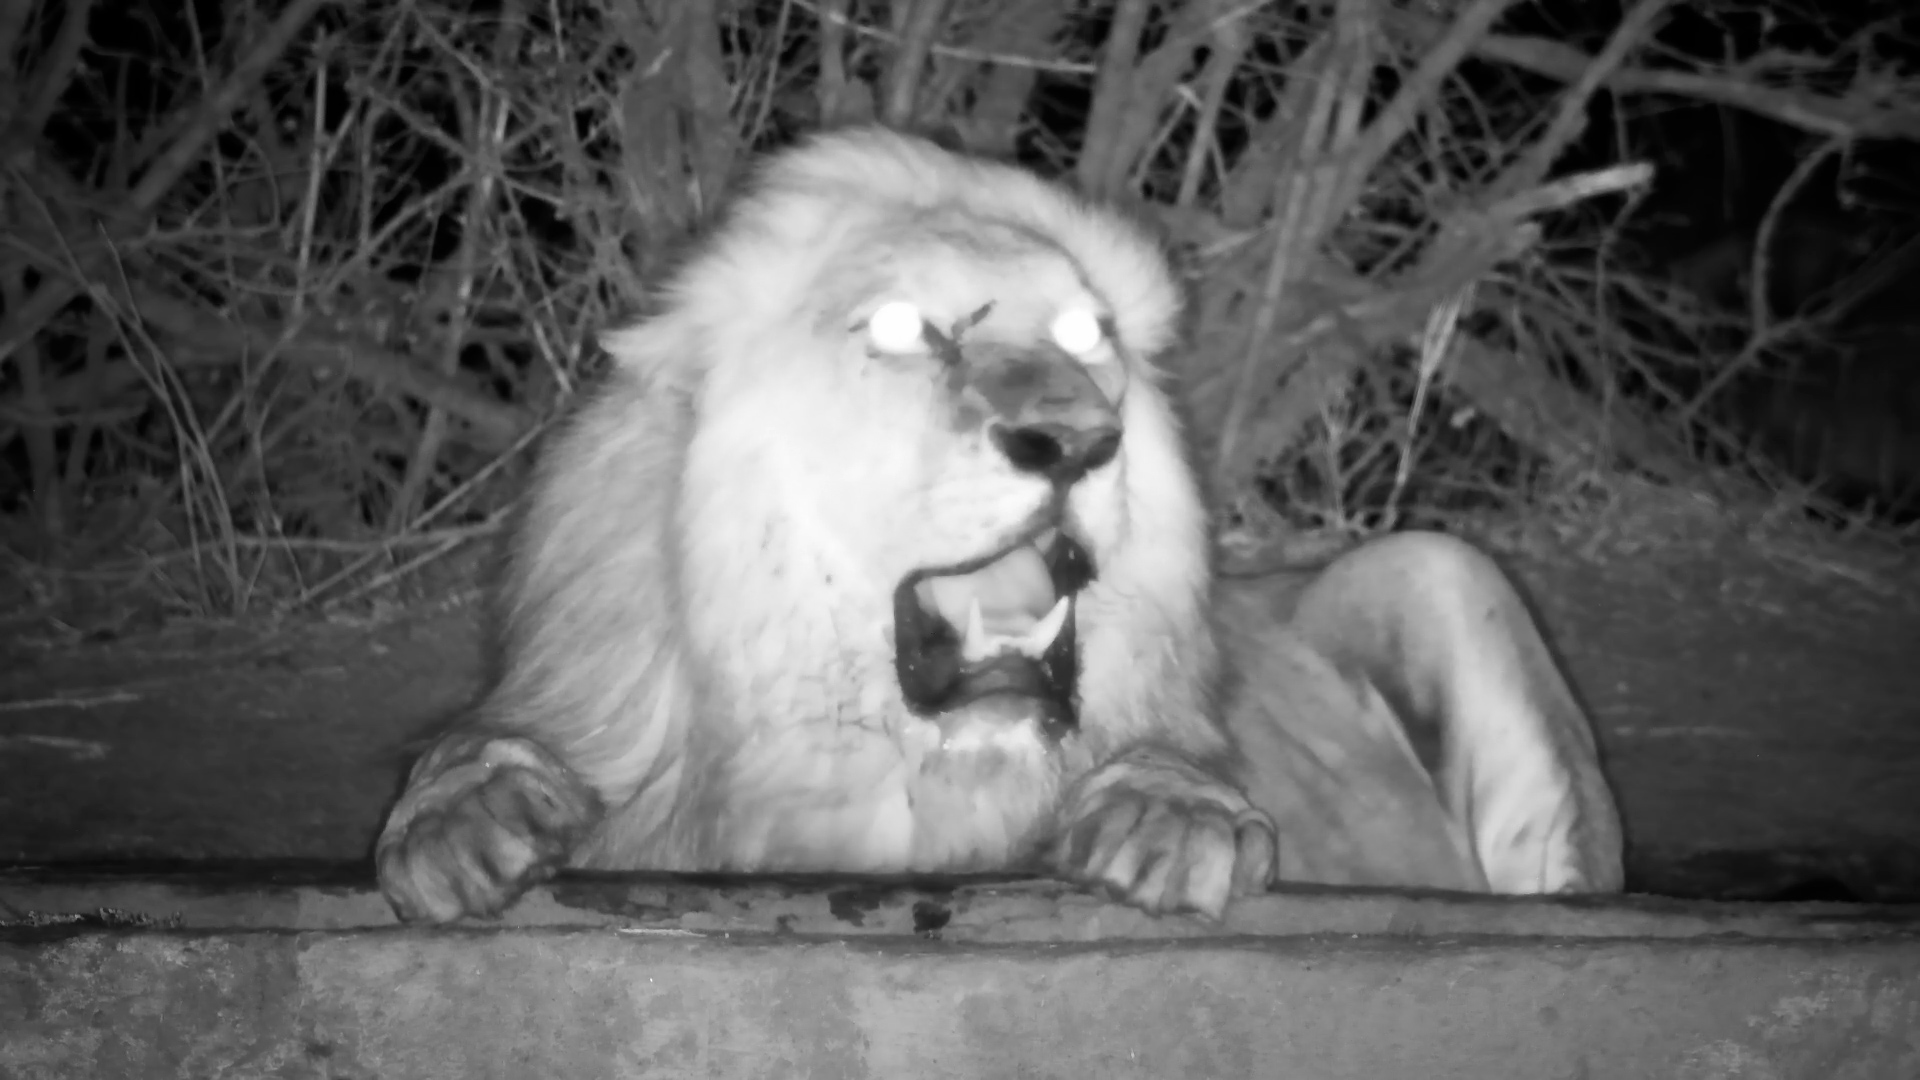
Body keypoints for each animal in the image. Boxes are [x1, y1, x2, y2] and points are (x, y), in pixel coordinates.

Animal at [375, 126, 1625, 924]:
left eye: (1086, 336)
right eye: (897, 329)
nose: (1075, 441)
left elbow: (1164, 757)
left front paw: (1172, 818)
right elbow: (485, 751)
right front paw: (463, 822)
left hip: (1443, 563)